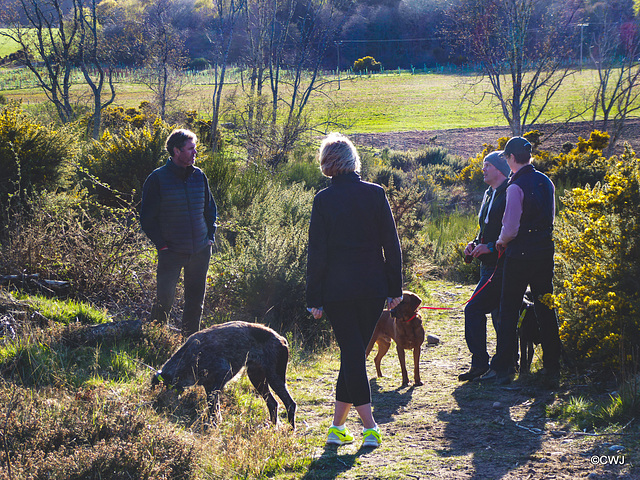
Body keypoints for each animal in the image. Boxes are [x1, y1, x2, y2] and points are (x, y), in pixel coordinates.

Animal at [152, 322, 298, 428]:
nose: (158, 409)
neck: (188, 357)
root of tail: (282, 339)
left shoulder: (221, 376)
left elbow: (213, 407)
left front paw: (213, 425)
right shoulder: (208, 385)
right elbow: (213, 408)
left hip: (274, 378)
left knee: (290, 404)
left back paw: (291, 430)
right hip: (257, 378)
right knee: (273, 403)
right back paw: (273, 428)